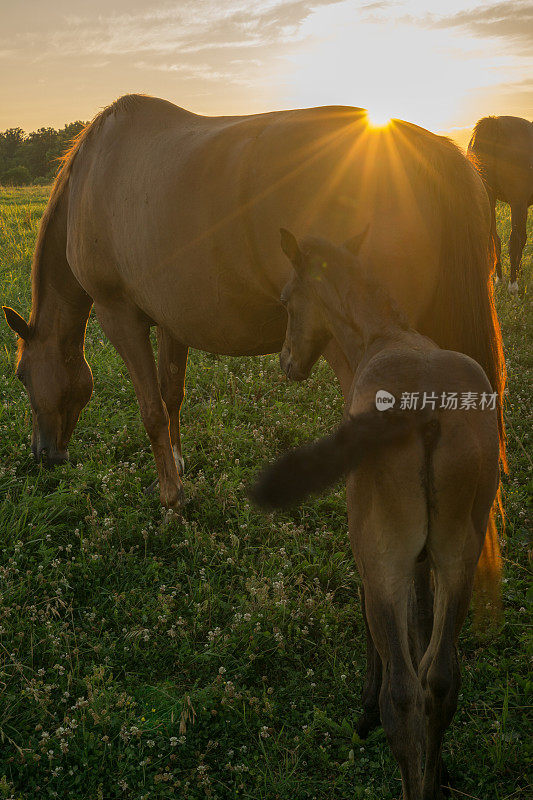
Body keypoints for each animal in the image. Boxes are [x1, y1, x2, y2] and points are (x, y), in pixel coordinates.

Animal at [3, 94, 502, 506]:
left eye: (21, 375)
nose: (43, 454)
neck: (93, 175)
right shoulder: (171, 321)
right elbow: (171, 396)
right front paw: (177, 469)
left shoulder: (119, 315)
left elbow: (151, 410)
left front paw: (170, 499)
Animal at [251, 230, 500, 800]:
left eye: (286, 299)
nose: (286, 361)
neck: (385, 336)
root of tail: (425, 412)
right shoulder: (424, 560)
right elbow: (422, 622)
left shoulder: (374, 556)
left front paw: (363, 706)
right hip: (460, 553)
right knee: (440, 678)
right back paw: (432, 777)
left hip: (382, 555)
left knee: (403, 694)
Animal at [468, 115, 532, 294]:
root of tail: (494, 122)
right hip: (517, 202)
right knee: (514, 240)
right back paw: (512, 284)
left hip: (489, 199)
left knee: (494, 238)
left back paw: (500, 278)